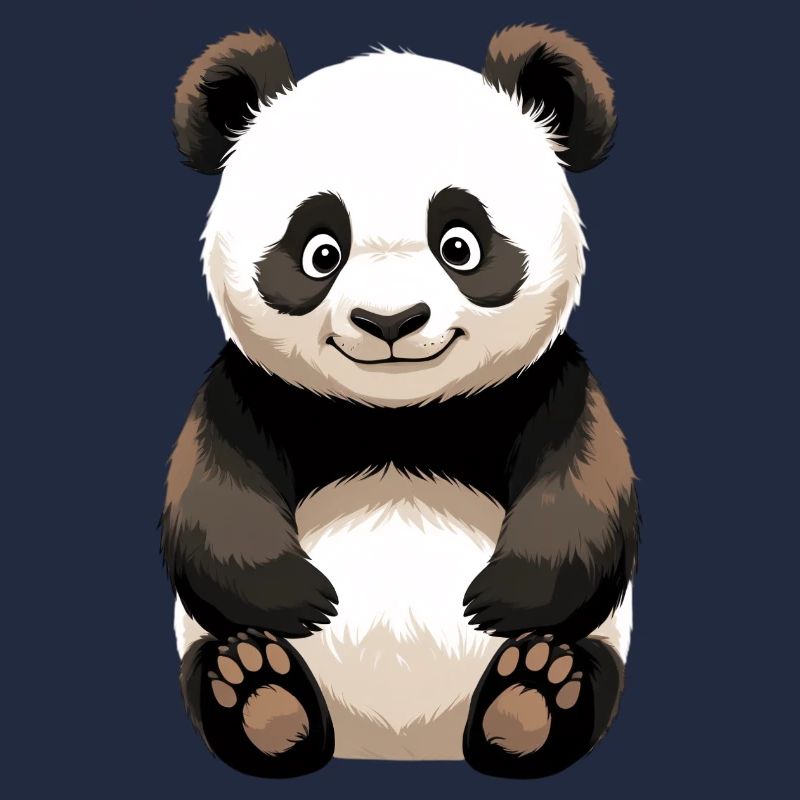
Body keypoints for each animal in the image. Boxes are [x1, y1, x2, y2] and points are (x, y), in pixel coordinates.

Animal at [162, 23, 639, 780]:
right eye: (321, 250)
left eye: (460, 244)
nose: (390, 321)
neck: (397, 421)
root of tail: (400, 743)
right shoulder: (251, 391)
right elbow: (213, 494)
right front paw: (299, 599)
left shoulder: (544, 385)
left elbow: (585, 484)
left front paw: (500, 601)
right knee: (221, 666)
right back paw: (261, 699)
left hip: (599, 646)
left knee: (582, 670)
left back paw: (531, 699)